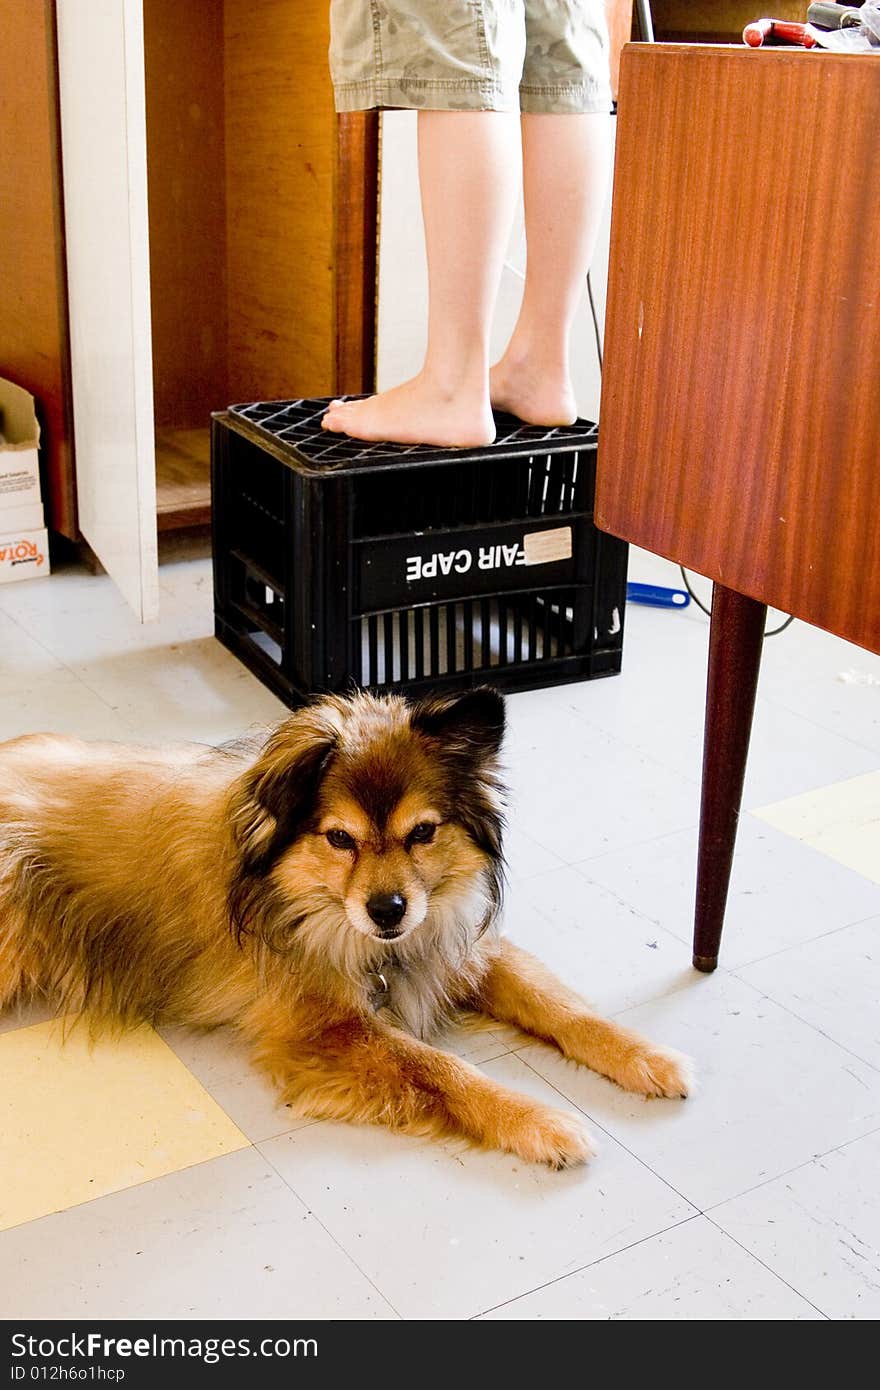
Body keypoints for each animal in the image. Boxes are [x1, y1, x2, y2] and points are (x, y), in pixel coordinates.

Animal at [0, 689, 689, 1167]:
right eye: (339, 839)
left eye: (422, 832)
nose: (389, 910)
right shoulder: (327, 1028)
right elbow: (442, 1069)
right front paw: (542, 1122)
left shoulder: (457, 949)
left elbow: (564, 1009)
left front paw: (648, 1058)